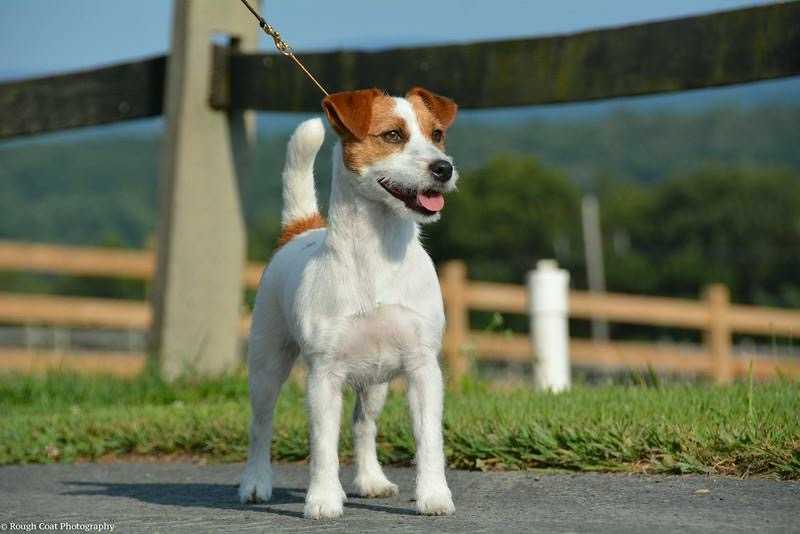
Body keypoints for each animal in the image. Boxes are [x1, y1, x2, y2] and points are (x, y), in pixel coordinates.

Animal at [239, 87, 456, 520]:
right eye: (393, 135)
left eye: (437, 134)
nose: (444, 168)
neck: (378, 257)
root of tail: (299, 229)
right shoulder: (324, 376)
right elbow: (323, 446)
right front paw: (323, 499)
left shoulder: (423, 369)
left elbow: (428, 440)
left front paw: (434, 495)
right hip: (267, 367)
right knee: (261, 426)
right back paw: (255, 482)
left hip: (376, 383)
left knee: (363, 424)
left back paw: (371, 479)